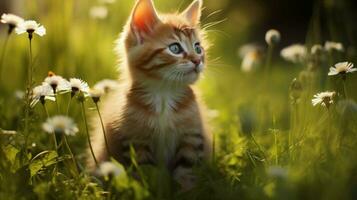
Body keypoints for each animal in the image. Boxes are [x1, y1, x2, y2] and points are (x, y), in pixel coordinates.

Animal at [90, 0, 210, 188]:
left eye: (198, 48)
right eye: (175, 48)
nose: (198, 61)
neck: (164, 95)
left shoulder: (191, 138)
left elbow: (186, 173)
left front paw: (186, 190)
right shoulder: (136, 141)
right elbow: (146, 175)